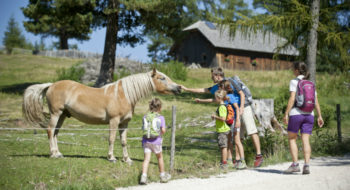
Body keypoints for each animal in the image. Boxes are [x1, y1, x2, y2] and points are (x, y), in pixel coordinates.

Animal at [22, 69, 182, 164]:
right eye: (162, 78)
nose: (179, 87)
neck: (123, 94)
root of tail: (51, 85)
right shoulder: (114, 121)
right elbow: (111, 139)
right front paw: (111, 157)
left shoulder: (124, 123)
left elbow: (123, 141)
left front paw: (127, 159)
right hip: (56, 113)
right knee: (50, 130)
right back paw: (53, 154)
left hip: (62, 115)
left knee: (55, 132)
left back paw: (58, 153)